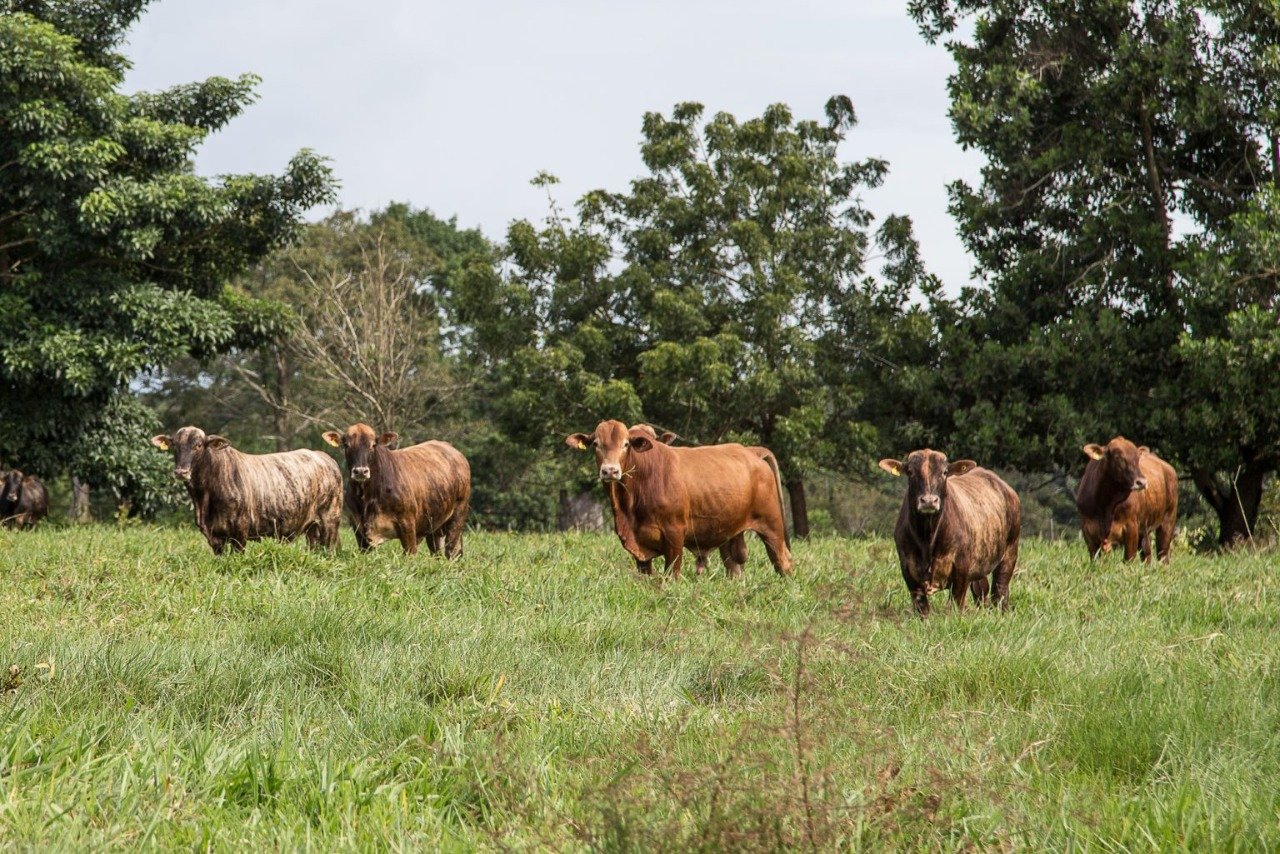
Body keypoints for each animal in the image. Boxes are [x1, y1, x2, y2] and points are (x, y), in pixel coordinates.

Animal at [150, 425, 343, 555]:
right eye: (175, 446)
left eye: (198, 446)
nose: (181, 472)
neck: (204, 498)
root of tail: (323, 457)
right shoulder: (214, 536)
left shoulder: (240, 531)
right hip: (312, 527)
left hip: (329, 522)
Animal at [322, 425, 473, 558]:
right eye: (346, 445)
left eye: (373, 445)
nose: (360, 471)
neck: (368, 497)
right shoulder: (358, 529)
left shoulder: (408, 526)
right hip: (434, 523)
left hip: (458, 514)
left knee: (451, 550)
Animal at [568, 419, 793, 581]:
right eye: (595, 444)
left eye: (626, 444)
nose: (610, 471)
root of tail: (751, 451)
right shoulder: (638, 547)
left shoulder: (674, 534)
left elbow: (672, 573)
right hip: (729, 532)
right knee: (734, 567)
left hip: (772, 525)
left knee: (783, 561)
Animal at [880, 448, 1018, 614]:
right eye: (910, 472)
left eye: (945, 472)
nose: (928, 501)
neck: (928, 538)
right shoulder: (908, 570)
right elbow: (922, 609)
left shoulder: (961, 571)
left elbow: (956, 604)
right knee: (981, 591)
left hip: (1010, 551)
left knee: (1000, 590)